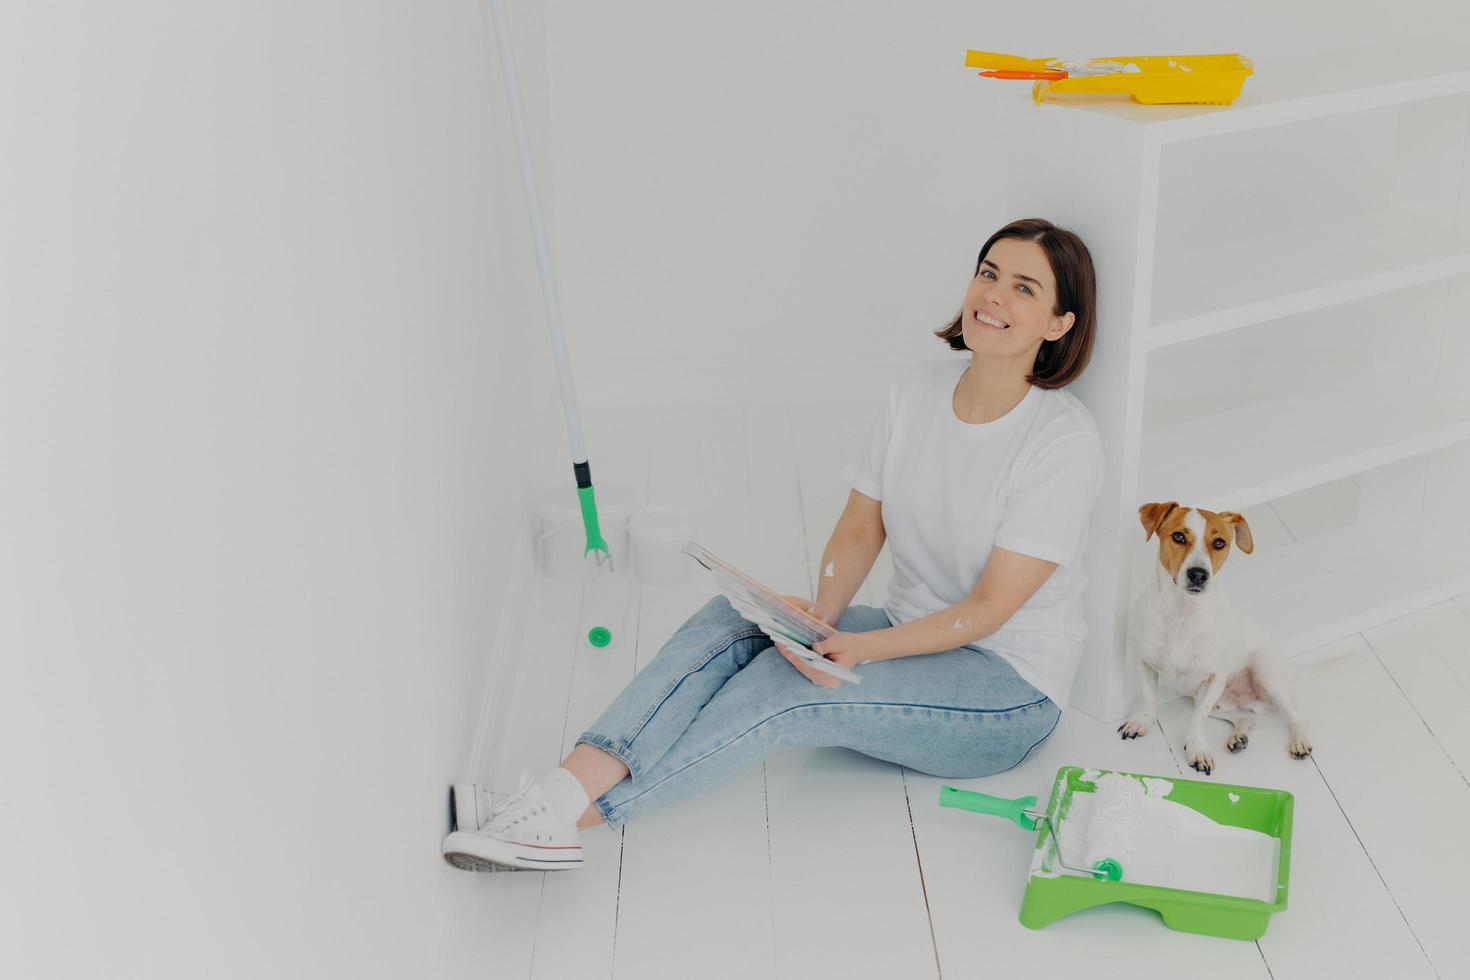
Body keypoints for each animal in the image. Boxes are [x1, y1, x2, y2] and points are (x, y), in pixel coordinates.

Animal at [1117, 505, 1317, 775]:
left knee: (1296, 715)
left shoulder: (1212, 680)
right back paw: (1239, 736)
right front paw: (1141, 722)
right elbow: (1149, 699)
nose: (1198, 574)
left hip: (1266, 678)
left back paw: (1299, 741)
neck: (1183, 612)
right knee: (1245, 718)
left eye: (1219, 542)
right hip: (1219, 703)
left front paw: (1197, 749)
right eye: (1179, 536)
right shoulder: (1145, 663)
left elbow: (1196, 720)